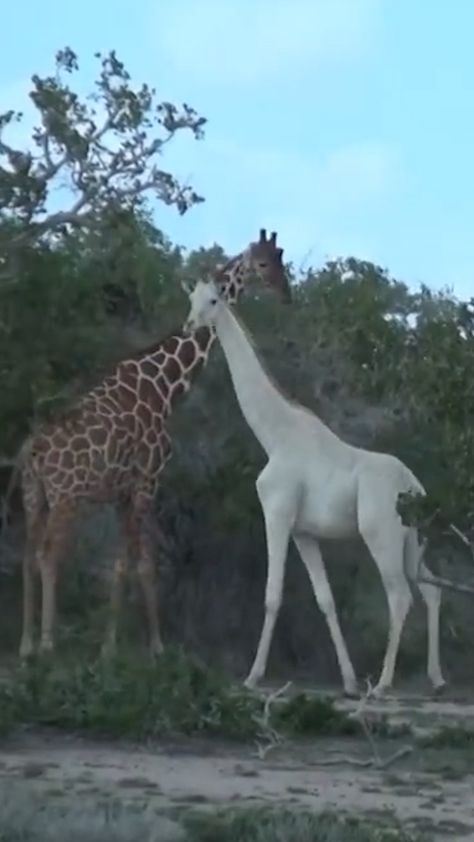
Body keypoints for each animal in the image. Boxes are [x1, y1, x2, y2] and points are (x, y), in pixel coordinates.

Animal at [12, 228, 288, 656]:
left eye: (280, 257)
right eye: (262, 262)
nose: (284, 290)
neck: (163, 389)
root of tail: (32, 449)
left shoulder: (122, 492)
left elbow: (132, 563)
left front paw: (136, 645)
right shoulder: (147, 482)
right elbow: (135, 563)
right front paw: (131, 648)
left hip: (34, 494)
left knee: (26, 555)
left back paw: (26, 644)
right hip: (65, 496)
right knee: (48, 555)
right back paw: (47, 643)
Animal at [183, 278, 446, 700]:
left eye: (213, 301)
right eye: (190, 299)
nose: (191, 324)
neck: (274, 435)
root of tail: (415, 488)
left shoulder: (276, 514)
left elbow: (272, 596)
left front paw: (253, 676)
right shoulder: (304, 533)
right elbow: (326, 600)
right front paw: (349, 682)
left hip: (381, 535)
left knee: (400, 596)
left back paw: (383, 684)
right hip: (413, 541)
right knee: (432, 591)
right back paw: (435, 679)